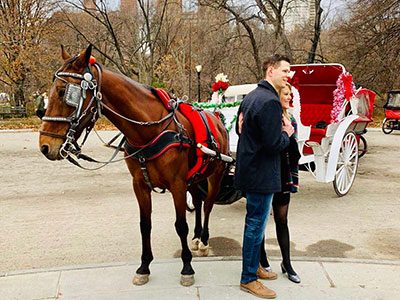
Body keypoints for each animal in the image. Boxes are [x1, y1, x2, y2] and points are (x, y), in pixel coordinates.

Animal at [39, 45, 230, 286]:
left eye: (64, 92)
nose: (45, 146)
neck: (149, 130)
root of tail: (217, 118)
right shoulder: (140, 185)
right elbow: (144, 225)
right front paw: (144, 266)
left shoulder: (177, 184)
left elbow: (180, 225)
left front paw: (187, 267)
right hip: (194, 178)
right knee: (197, 200)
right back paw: (196, 237)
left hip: (215, 175)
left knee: (207, 206)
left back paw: (203, 240)